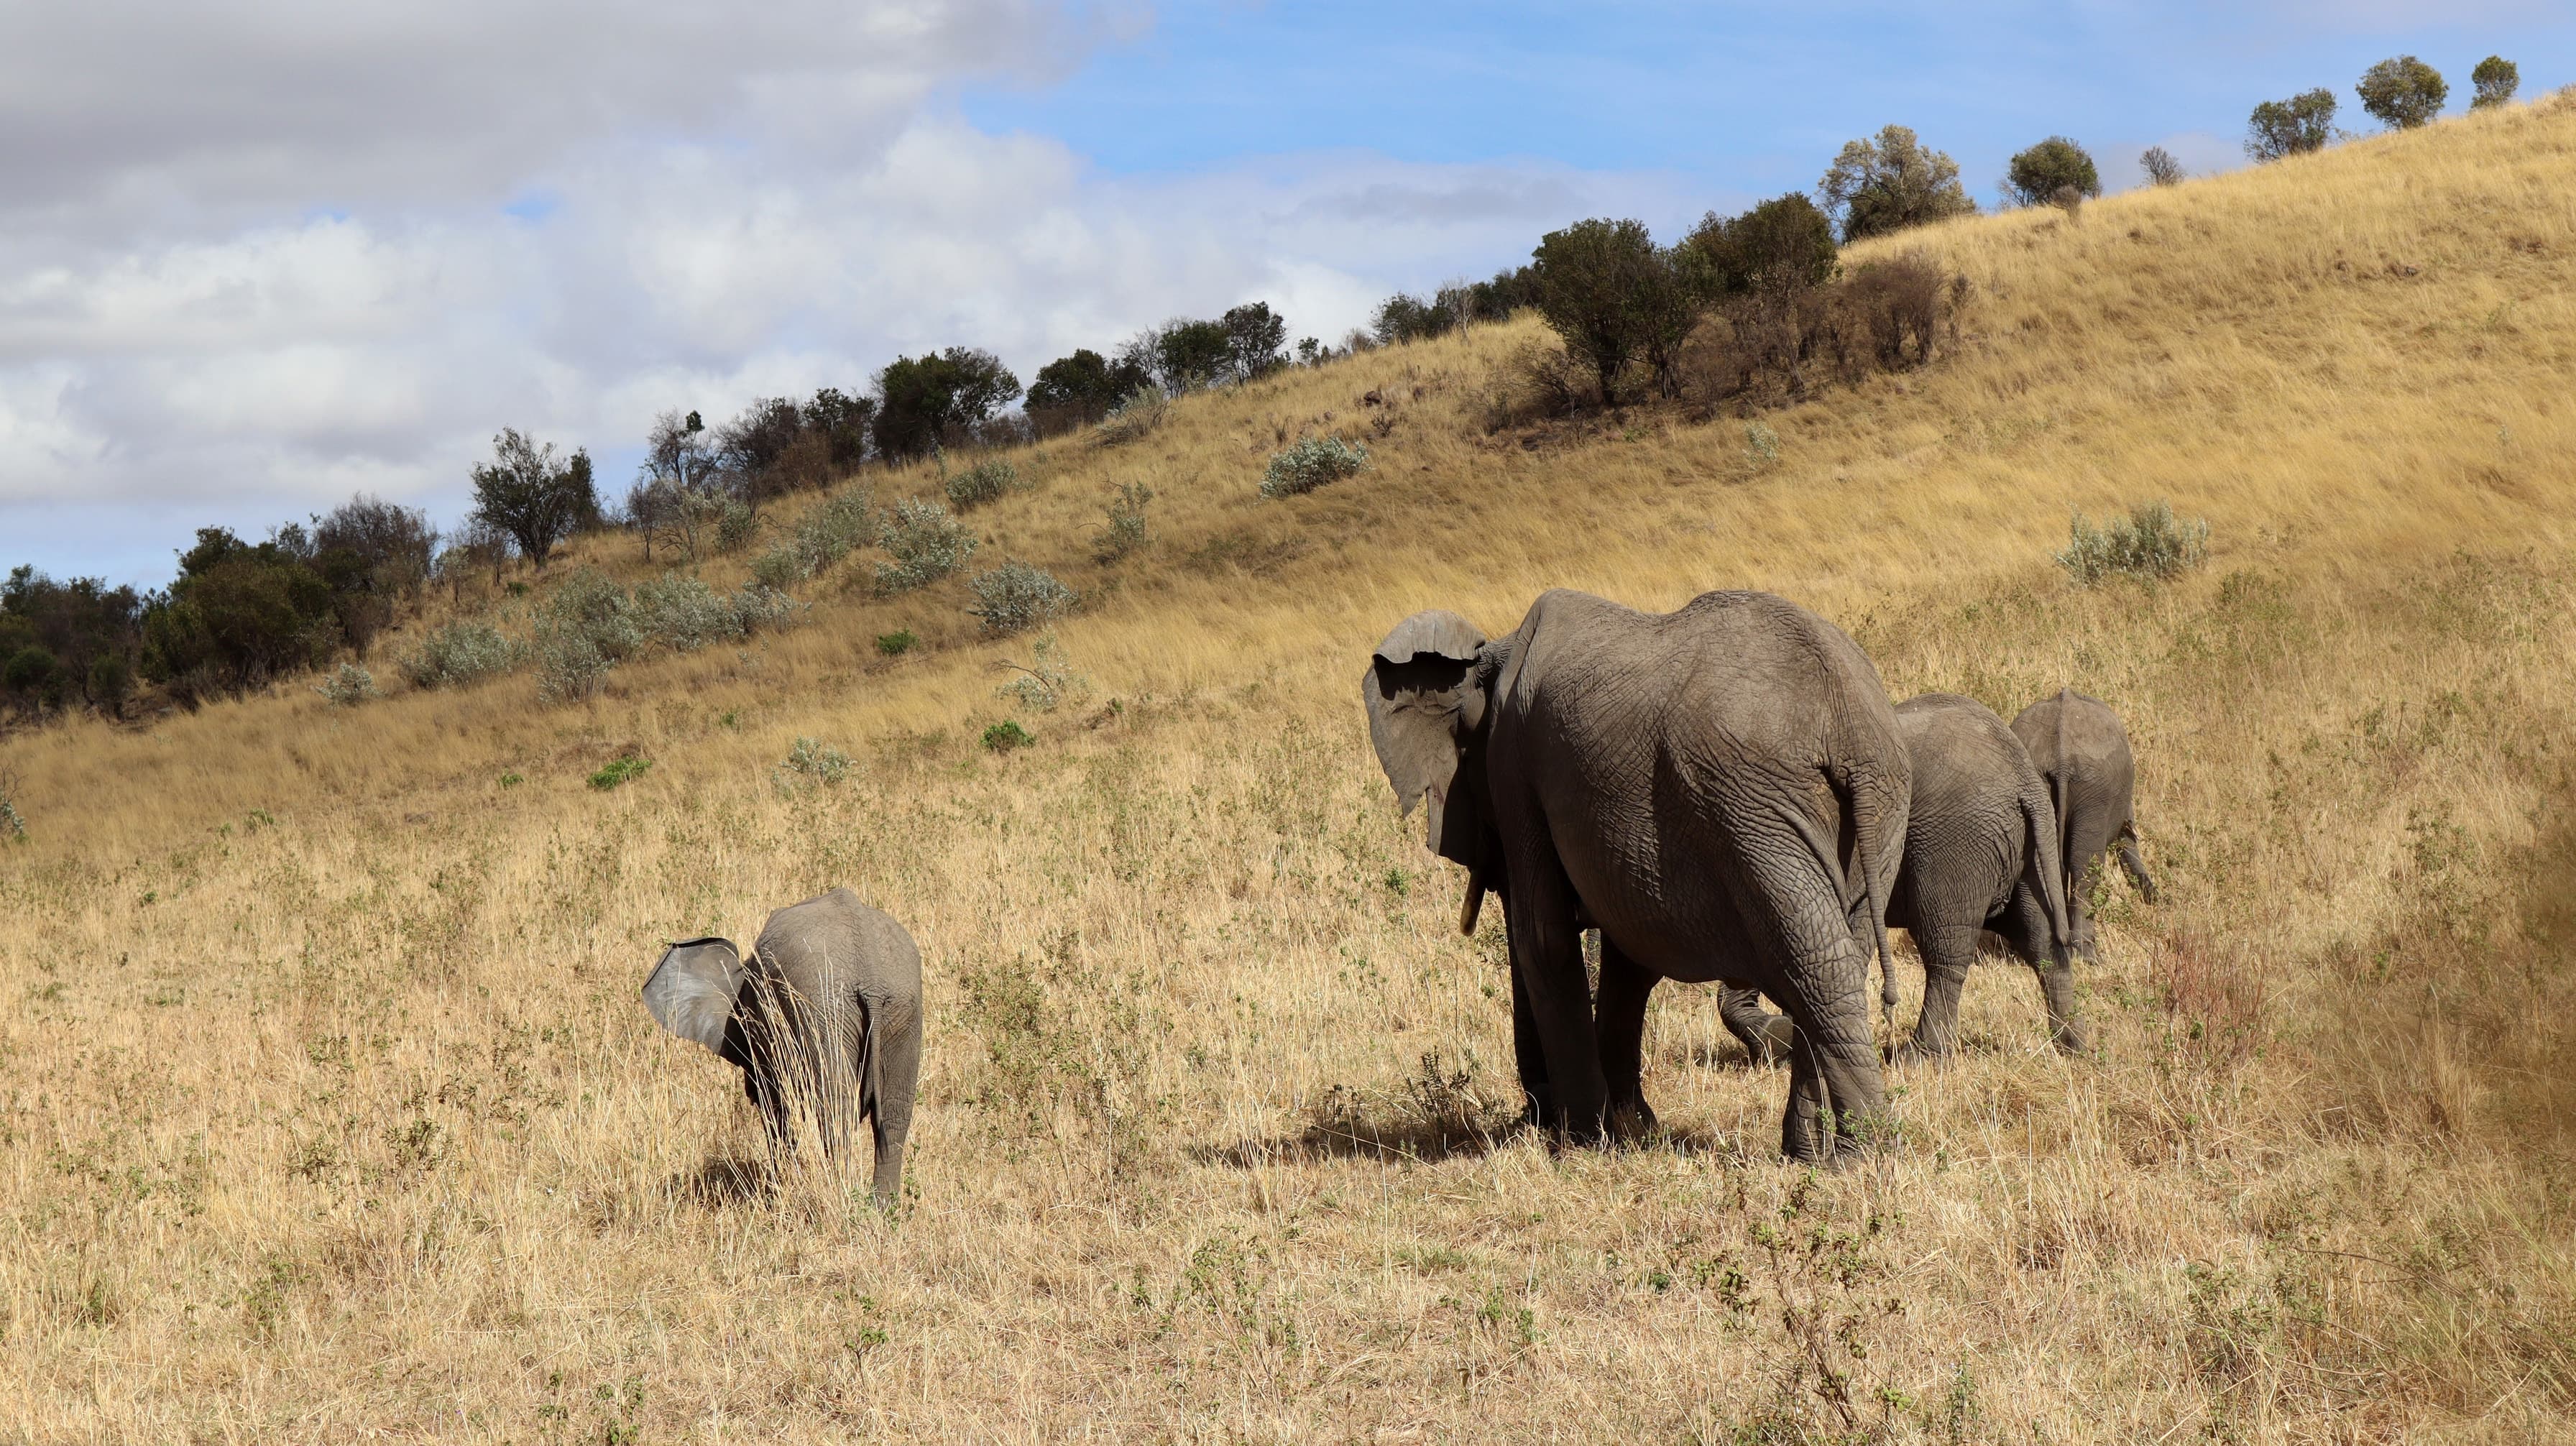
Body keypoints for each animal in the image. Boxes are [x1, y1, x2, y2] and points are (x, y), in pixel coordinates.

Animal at [641, 887, 923, 1203]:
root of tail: (872, 979)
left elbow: (775, 1107)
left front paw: (780, 1193)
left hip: (825, 1011)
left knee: (835, 1110)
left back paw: (841, 1195)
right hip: (903, 1008)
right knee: (895, 1112)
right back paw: (883, 1207)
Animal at [1364, 588, 1910, 1165]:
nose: (1531, 1117)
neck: (1494, 654)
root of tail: (1847, 719)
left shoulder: (1515, 771)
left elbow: (1544, 939)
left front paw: (1584, 1143)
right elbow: (1627, 953)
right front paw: (1631, 1128)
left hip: (1751, 807)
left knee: (1813, 962)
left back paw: (1859, 1160)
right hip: (1875, 807)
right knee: (1835, 955)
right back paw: (1811, 1156)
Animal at [1716, 693, 2080, 1064]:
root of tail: (2024, 777)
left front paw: (1781, 1041)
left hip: (1956, 844)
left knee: (1945, 948)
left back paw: (1918, 1057)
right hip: (2028, 849)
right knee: (2040, 937)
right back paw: (2070, 1045)